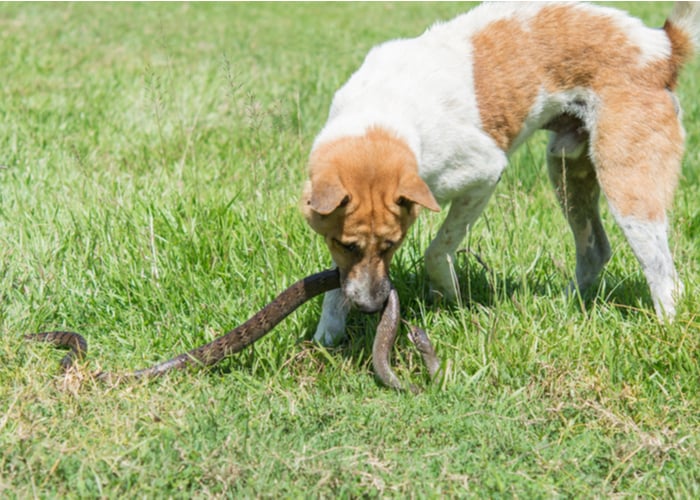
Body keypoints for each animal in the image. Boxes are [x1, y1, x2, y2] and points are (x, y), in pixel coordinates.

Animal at [302, 1, 700, 346]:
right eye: (344, 244)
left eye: (393, 244)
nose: (371, 307)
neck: (383, 116)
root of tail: (662, 48)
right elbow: (338, 284)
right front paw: (327, 335)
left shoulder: (484, 173)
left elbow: (437, 249)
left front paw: (449, 295)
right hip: (567, 169)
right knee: (595, 250)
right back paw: (564, 306)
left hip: (626, 182)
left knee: (664, 275)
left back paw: (666, 330)